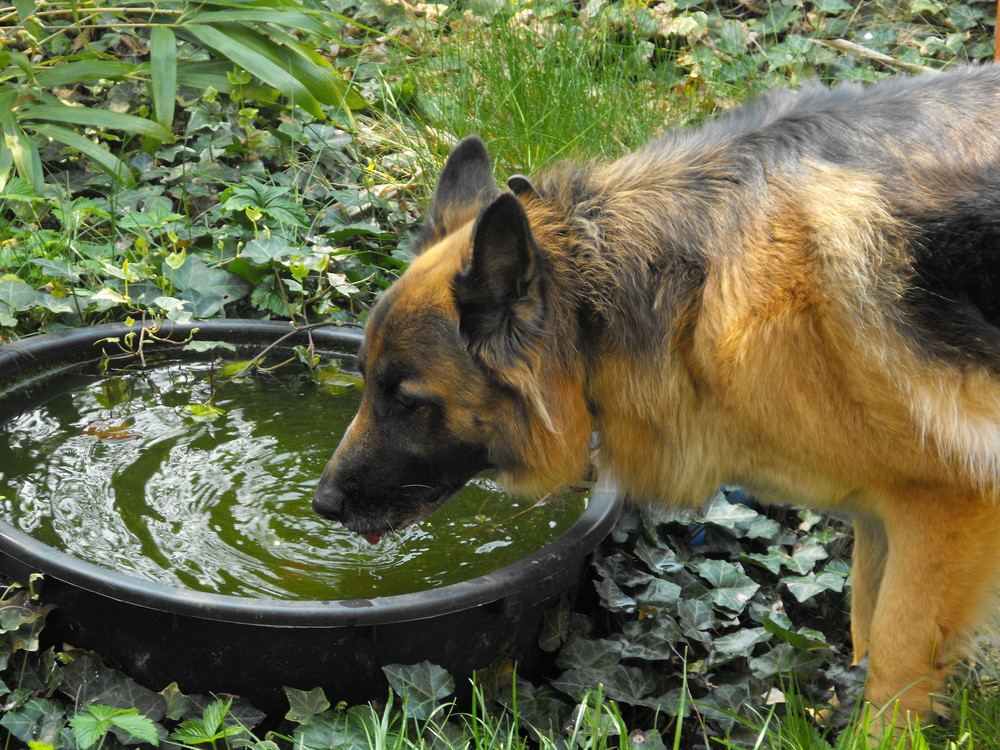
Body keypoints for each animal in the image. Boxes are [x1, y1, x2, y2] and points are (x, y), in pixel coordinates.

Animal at [316, 67, 1000, 724]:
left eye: (407, 401)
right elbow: (863, 630)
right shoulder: (883, 515)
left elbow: (893, 670)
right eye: (363, 379)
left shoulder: (942, 509)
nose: (322, 505)